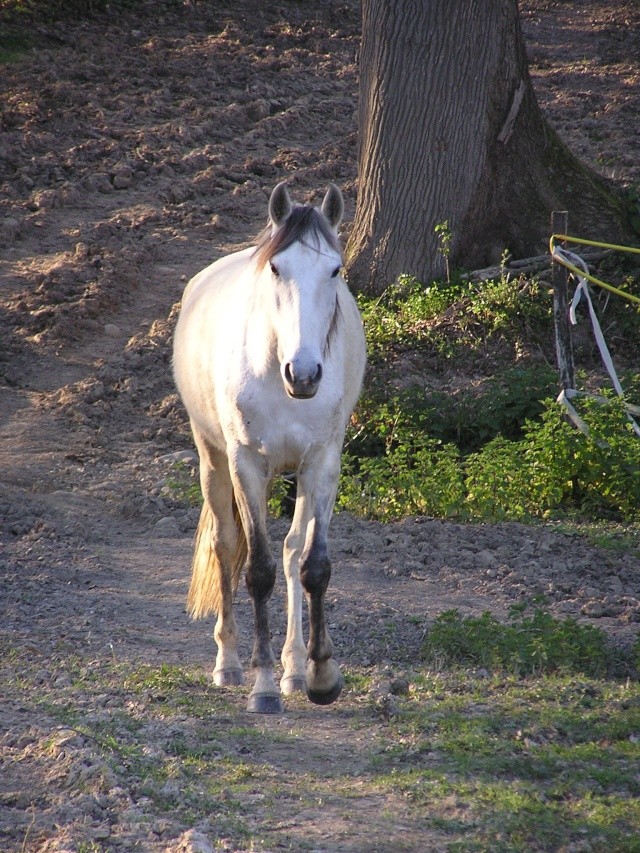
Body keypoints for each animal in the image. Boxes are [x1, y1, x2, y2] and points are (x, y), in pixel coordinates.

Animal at [174, 185, 364, 712]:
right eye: (277, 268)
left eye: (335, 270)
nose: (305, 374)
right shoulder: (246, 464)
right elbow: (256, 569)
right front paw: (261, 687)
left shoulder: (322, 463)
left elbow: (312, 564)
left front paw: (320, 675)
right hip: (213, 459)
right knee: (225, 544)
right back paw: (230, 664)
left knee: (292, 549)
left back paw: (294, 671)